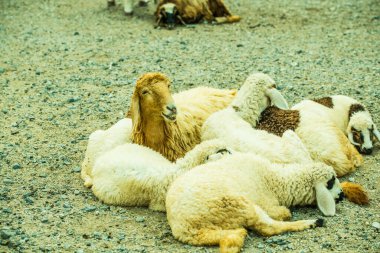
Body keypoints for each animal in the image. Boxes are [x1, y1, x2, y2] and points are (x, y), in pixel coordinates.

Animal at [166, 152, 344, 253]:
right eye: (331, 181)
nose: (342, 195)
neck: (277, 180)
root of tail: (184, 229)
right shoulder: (267, 203)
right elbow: (283, 213)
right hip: (238, 204)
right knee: (267, 228)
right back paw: (314, 222)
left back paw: (235, 237)